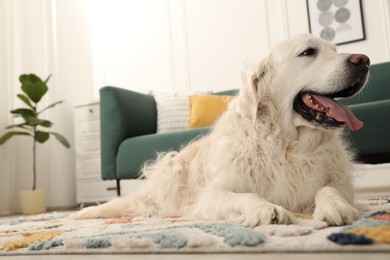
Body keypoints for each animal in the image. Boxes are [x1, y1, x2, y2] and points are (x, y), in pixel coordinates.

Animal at [72, 34, 368, 225]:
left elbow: (328, 189)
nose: (363, 60)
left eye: (334, 49)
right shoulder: (213, 194)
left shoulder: (339, 180)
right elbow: (245, 196)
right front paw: (266, 209)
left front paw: (336, 206)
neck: (286, 143)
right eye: (308, 52)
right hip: (171, 169)